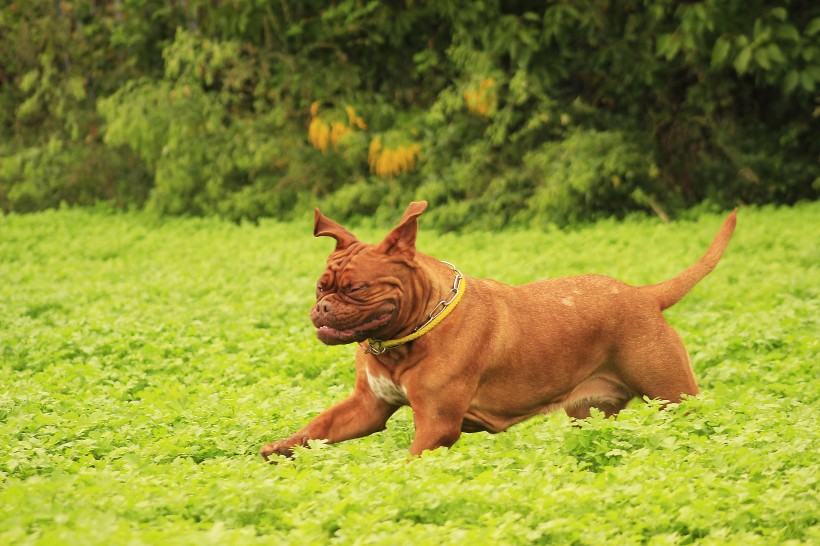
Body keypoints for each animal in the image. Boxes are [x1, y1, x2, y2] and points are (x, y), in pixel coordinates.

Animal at [262, 201, 736, 460]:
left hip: (673, 395)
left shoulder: (436, 426)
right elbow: (318, 427)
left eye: (357, 289)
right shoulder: (367, 407)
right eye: (321, 286)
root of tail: (645, 295)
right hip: (591, 411)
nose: (322, 307)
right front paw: (279, 447)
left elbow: (408, 461)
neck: (406, 338)